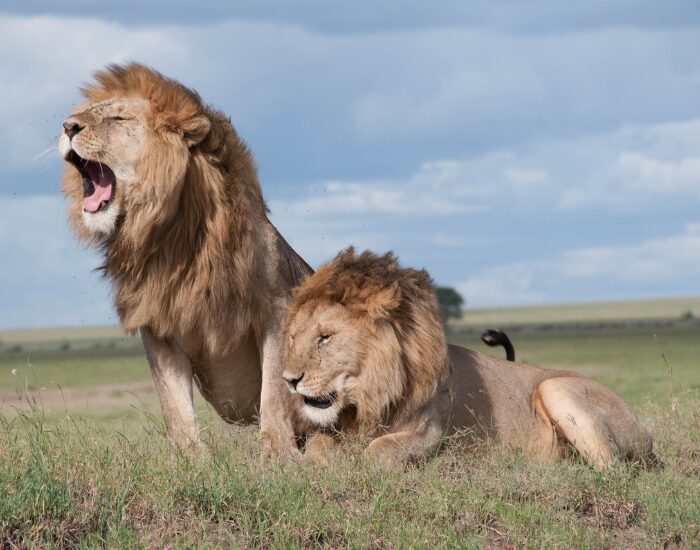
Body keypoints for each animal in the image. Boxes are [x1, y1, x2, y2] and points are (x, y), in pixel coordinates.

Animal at [60, 63, 312, 458]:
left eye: (118, 118)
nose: (68, 126)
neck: (171, 239)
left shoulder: (275, 308)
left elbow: (274, 390)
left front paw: (278, 455)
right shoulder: (157, 324)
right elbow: (174, 404)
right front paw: (191, 459)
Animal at [282, 248, 657, 468]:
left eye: (325, 338)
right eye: (293, 338)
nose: (289, 380)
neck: (368, 396)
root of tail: (645, 434)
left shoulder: (429, 432)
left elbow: (379, 451)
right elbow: (318, 444)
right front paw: (317, 464)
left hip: (556, 388)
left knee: (612, 470)